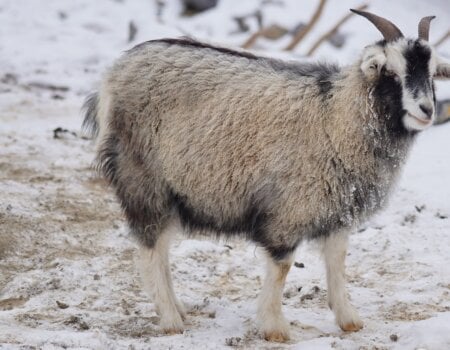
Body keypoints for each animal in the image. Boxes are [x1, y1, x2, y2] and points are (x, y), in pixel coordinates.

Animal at [83, 10, 450, 342]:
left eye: (432, 73)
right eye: (390, 72)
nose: (427, 110)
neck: (335, 116)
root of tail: (111, 77)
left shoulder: (337, 210)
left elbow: (337, 261)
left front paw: (349, 319)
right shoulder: (289, 209)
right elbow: (283, 267)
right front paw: (274, 327)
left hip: (170, 191)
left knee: (160, 247)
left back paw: (178, 309)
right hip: (143, 181)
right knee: (150, 249)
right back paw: (171, 320)